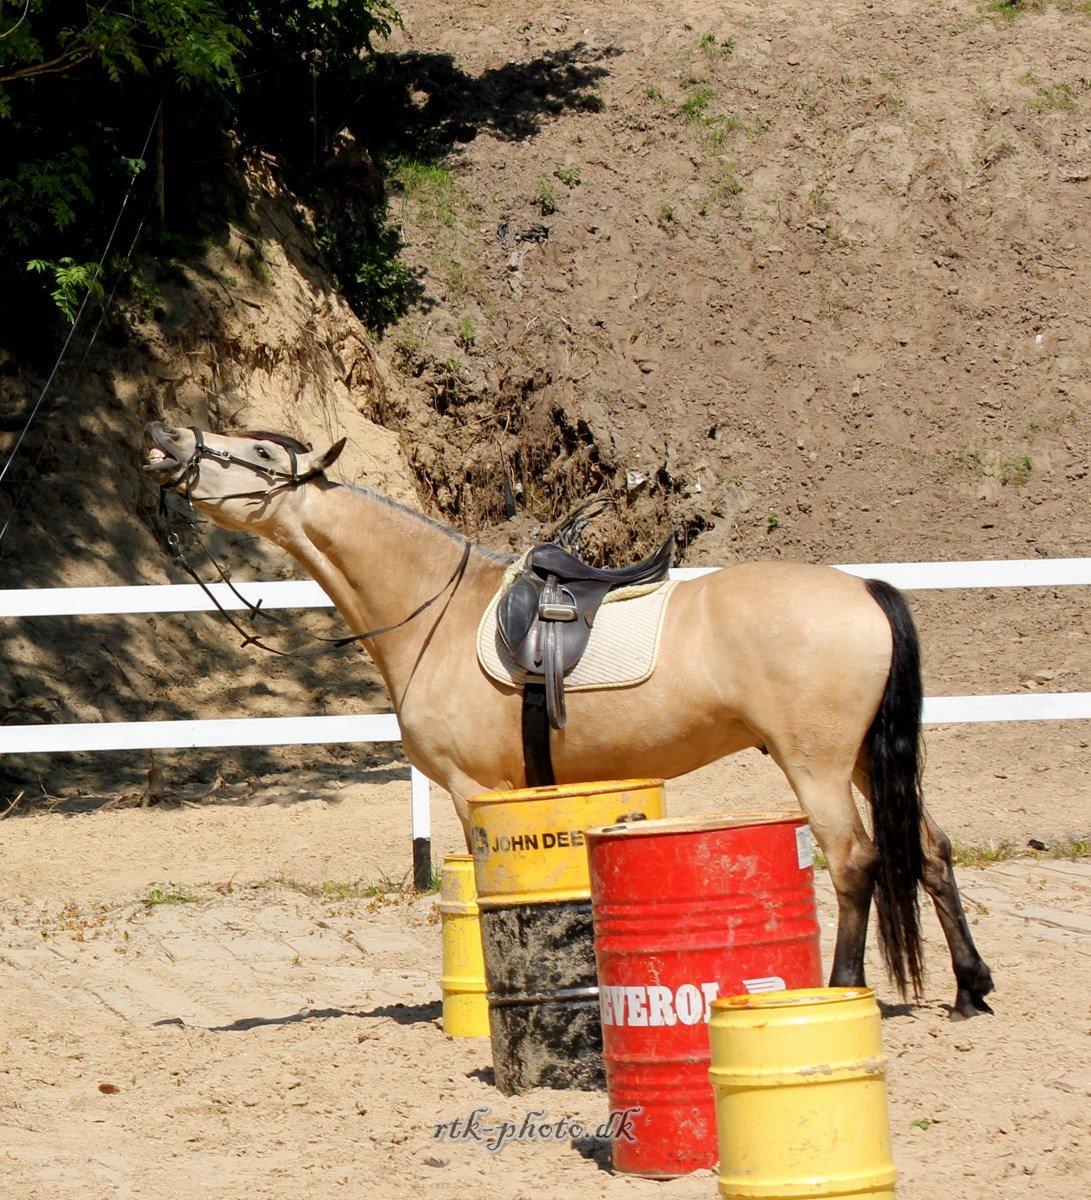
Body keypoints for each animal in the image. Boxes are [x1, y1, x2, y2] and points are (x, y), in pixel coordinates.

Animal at [142, 422, 993, 1022]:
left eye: (258, 450)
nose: (165, 437)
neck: (436, 613)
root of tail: (865, 590)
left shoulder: (472, 789)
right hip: (864, 759)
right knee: (928, 849)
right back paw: (969, 986)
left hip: (816, 763)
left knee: (854, 860)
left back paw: (843, 987)